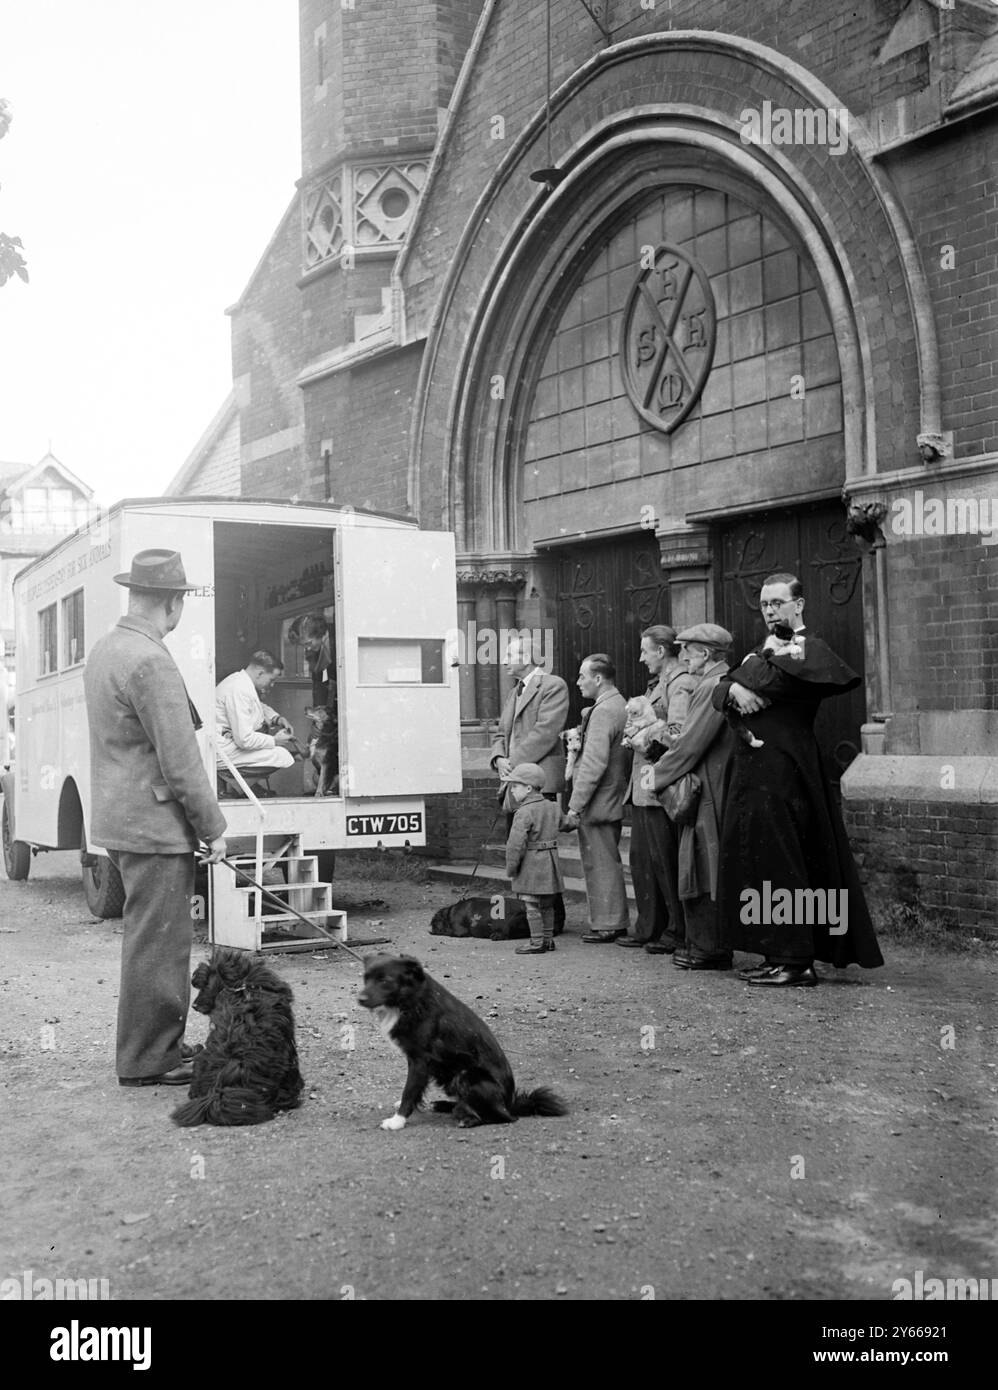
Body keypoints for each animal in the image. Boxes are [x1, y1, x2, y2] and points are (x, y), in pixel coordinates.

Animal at [358, 950, 569, 1134]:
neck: (409, 999)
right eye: (365, 978)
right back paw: (443, 1105)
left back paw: (467, 1119)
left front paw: (397, 1120)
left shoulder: (420, 1060)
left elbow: (409, 1091)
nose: (360, 999)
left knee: (505, 1118)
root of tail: (510, 1104)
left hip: (467, 1075)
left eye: (385, 981)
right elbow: (414, 1091)